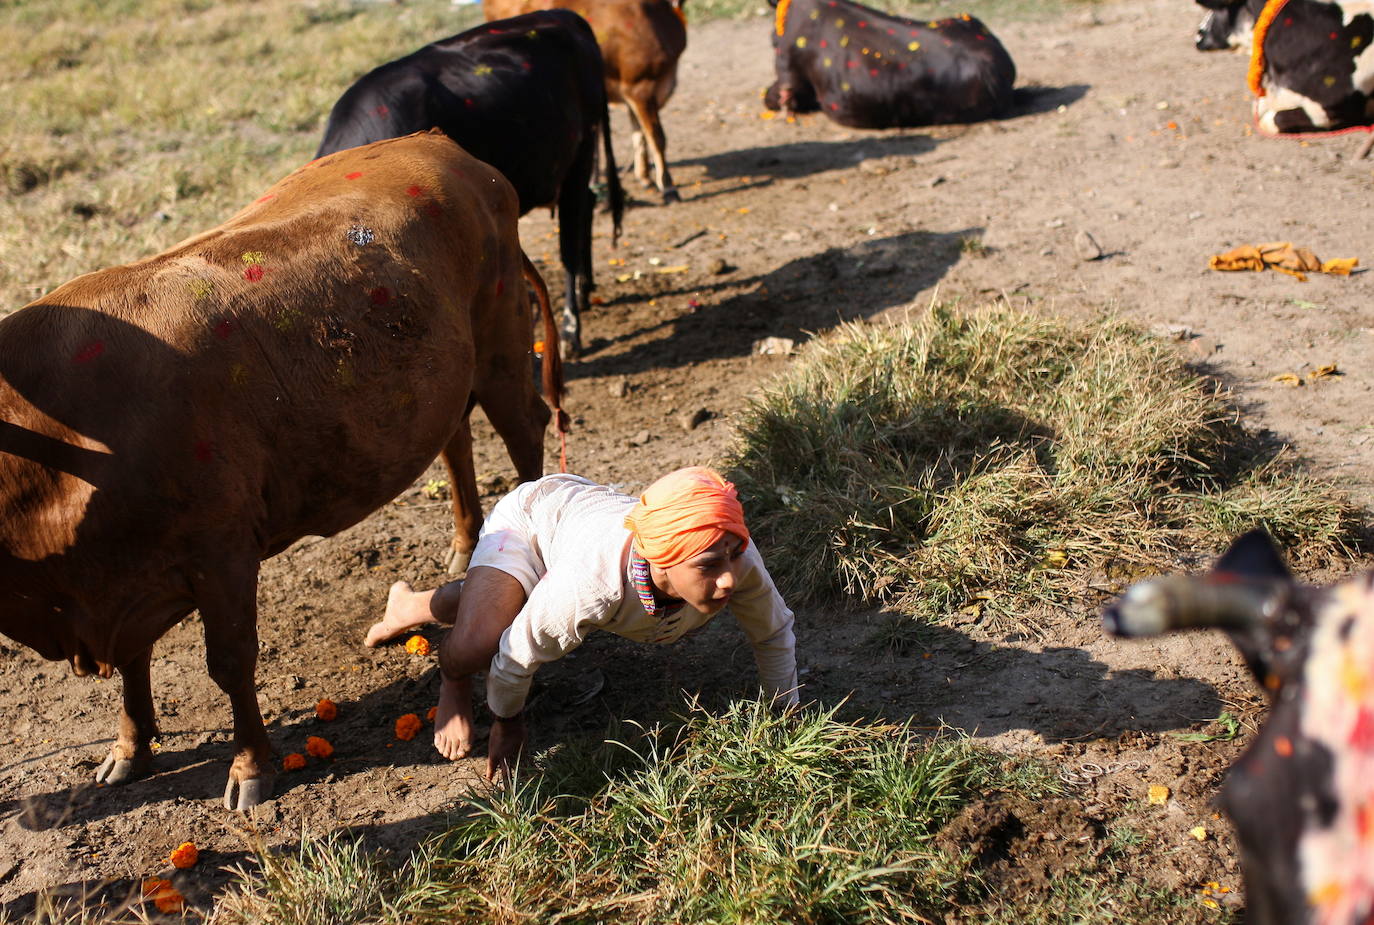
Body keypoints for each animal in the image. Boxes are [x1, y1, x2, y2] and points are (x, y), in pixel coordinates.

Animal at [0, 129, 563, 808]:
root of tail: (440, 143)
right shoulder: (126, 578)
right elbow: (136, 665)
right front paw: (130, 750)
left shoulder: (221, 553)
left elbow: (231, 662)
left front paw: (250, 767)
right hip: (447, 376)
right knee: (455, 440)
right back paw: (464, 546)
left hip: (503, 346)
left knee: (524, 431)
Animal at [316, 10, 623, 357]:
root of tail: (562, 15)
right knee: (586, 207)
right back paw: (585, 289)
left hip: (581, 151)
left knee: (570, 236)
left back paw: (572, 328)